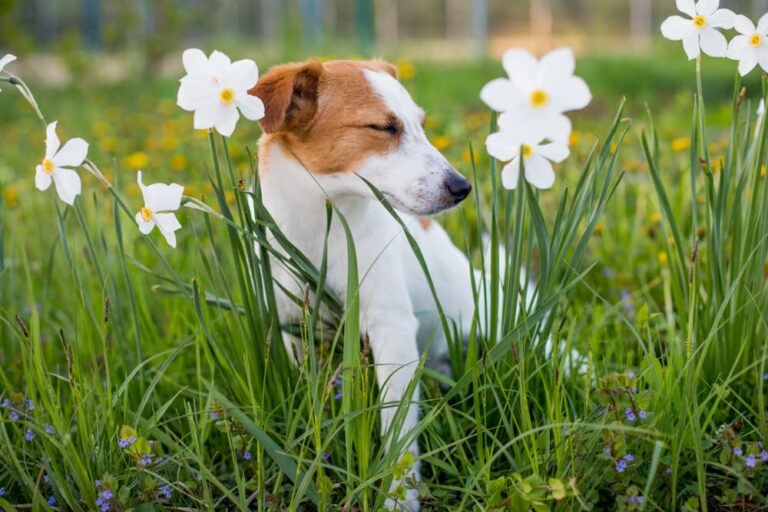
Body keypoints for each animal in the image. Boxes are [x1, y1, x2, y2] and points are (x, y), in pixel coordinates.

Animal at [252, 59, 488, 508]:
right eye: (383, 127)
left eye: (422, 125)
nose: (462, 187)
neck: (323, 230)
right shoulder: (295, 328)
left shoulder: (391, 330)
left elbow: (398, 427)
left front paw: (399, 496)